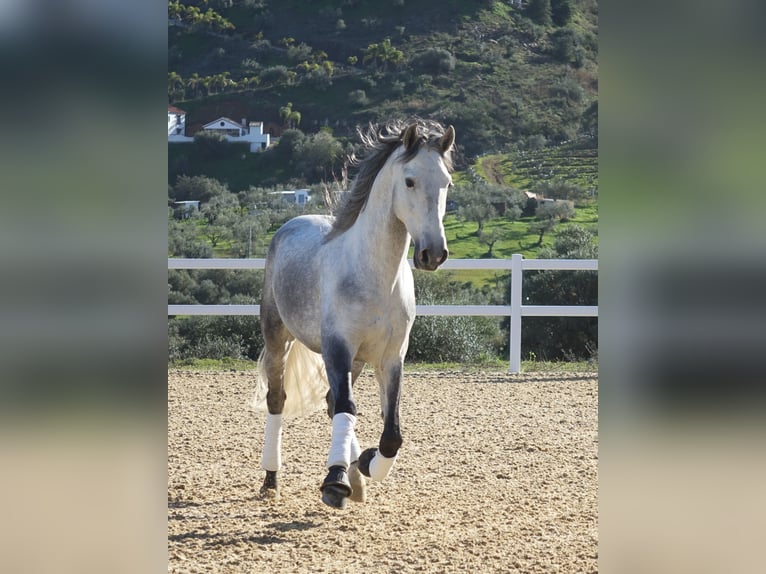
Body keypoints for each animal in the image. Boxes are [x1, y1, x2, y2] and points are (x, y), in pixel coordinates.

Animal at [253, 119, 455, 509]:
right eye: (409, 180)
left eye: (447, 183)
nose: (433, 254)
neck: (374, 277)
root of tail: (290, 225)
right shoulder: (337, 348)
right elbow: (348, 406)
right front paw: (335, 482)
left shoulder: (391, 357)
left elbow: (391, 432)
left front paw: (364, 465)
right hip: (277, 338)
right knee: (279, 400)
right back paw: (271, 479)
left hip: (358, 361)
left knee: (332, 403)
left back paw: (355, 476)